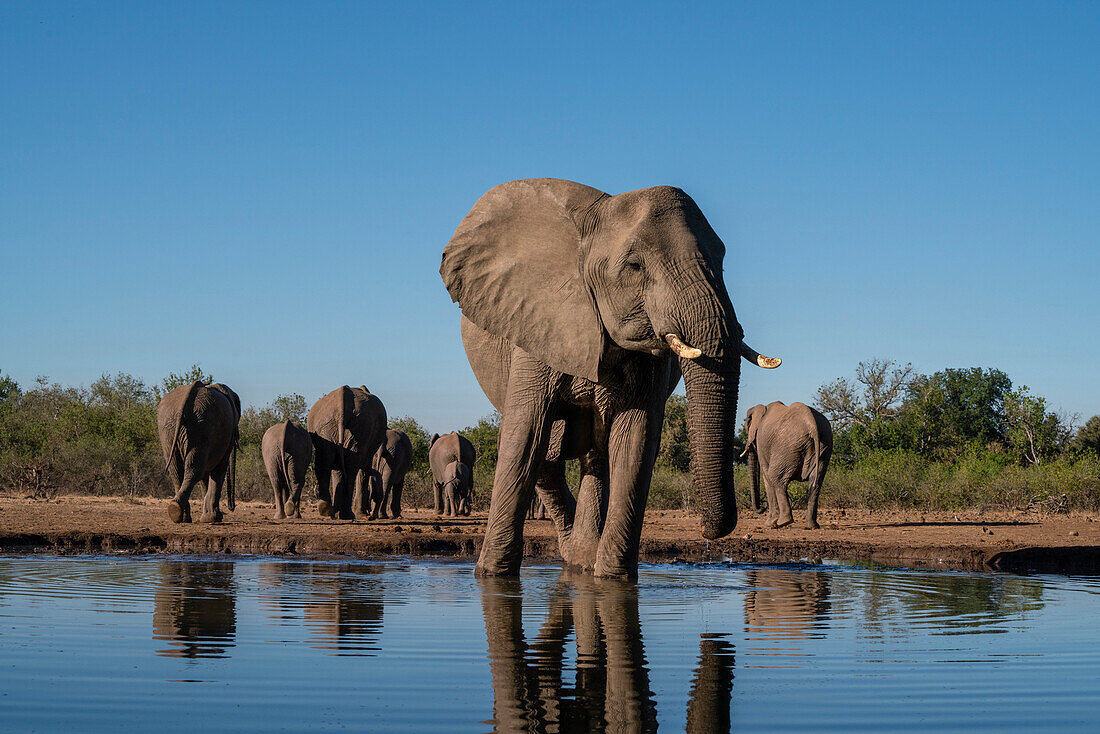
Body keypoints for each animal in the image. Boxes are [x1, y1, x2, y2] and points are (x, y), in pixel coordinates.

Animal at [158, 382, 242, 526]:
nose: (232, 508)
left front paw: (209, 517)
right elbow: (219, 470)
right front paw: (214, 518)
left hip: (171, 428)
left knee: (177, 471)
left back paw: (179, 514)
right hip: (200, 426)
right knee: (194, 470)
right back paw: (179, 512)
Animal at [308, 387, 389, 519]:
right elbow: (363, 469)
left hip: (327, 426)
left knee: (325, 463)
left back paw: (328, 511)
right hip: (359, 426)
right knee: (351, 469)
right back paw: (348, 515)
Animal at [440, 179, 783, 581]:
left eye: (722, 261)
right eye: (635, 266)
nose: (705, 532)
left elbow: (635, 439)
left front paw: (613, 580)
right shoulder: (536, 322)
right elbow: (526, 434)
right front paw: (492, 577)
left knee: (596, 454)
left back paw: (582, 560)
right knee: (548, 458)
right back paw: (573, 555)